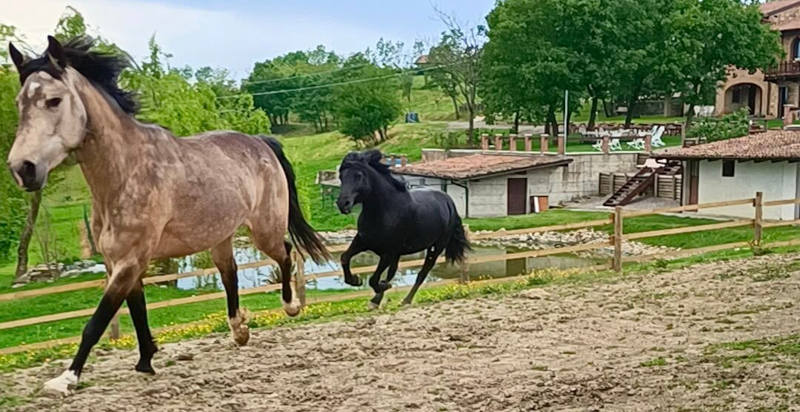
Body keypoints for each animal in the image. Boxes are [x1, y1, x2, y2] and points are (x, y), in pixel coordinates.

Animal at [6, 36, 329, 395]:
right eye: (20, 103)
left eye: (54, 100)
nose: (22, 169)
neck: (126, 173)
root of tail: (260, 142)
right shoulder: (120, 263)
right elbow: (137, 311)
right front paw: (146, 361)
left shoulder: (130, 261)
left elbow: (98, 321)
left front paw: (66, 378)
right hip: (220, 235)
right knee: (229, 272)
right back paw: (239, 330)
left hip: (264, 229)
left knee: (285, 253)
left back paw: (290, 306)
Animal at [336, 150, 471, 308]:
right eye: (341, 176)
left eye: (358, 175)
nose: (343, 204)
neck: (384, 211)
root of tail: (449, 202)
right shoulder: (363, 241)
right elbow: (345, 257)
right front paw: (355, 280)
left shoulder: (388, 252)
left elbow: (374, 279)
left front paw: (380, 287)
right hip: (400, 253)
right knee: (393, 272)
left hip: (435, 248)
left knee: (422, 273)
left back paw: (405, 300)